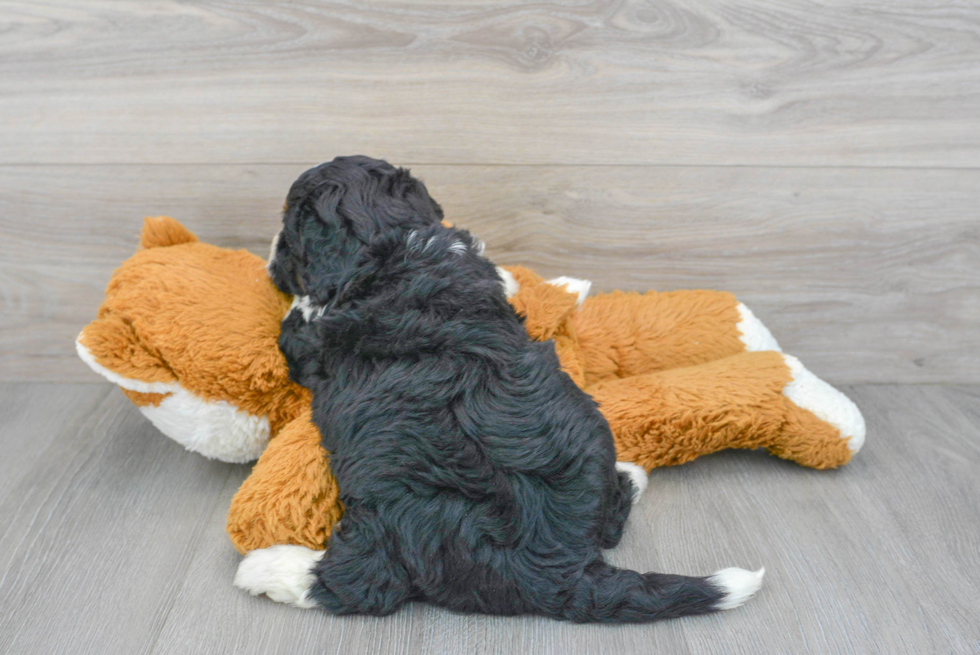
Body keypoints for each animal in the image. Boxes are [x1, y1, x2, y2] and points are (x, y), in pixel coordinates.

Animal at [237, 156, 764, 624]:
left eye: (289, 229)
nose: (269, 257)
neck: (395, 237)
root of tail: (564, 570)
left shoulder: (312, 346)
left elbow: (299, 326)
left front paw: (300, 302)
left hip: (393, 519)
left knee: (360, 584)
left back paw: (266, 567)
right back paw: (631, 473)